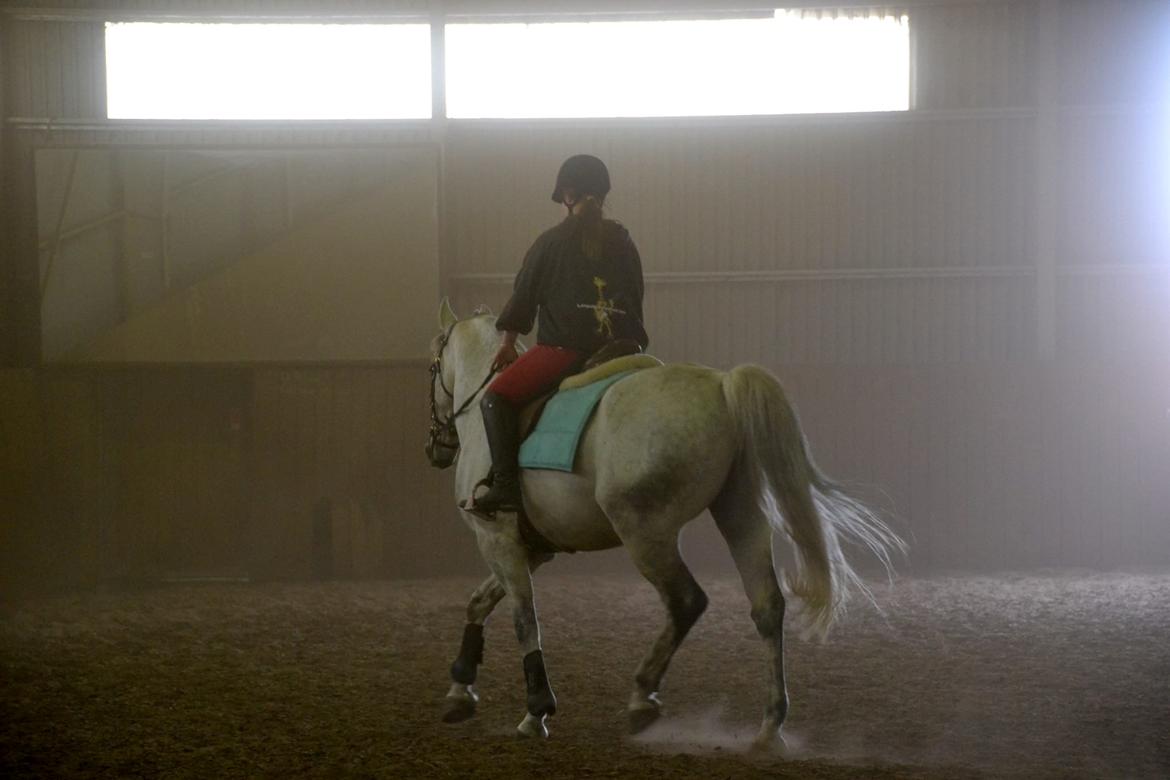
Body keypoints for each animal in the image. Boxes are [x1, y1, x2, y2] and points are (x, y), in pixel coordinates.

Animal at [428, 297, 903, 743]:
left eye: (432, 365)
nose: (437, 449)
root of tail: (721, 385)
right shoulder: (534, 548)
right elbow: (479, 601)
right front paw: (460, 688)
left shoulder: (498, 539)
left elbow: (524, 618)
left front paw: (536, 709)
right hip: (740, 513)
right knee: (767, 605)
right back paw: (771, 724)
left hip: (644, 530)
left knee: (686, 601)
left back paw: (643, 696)